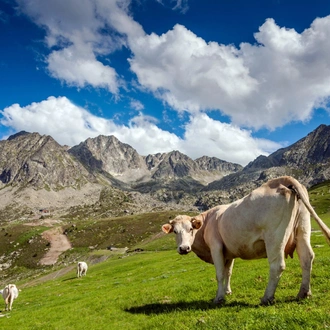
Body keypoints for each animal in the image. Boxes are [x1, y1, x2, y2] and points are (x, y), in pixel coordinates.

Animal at [161, 177, 330, 306]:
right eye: (175, 231)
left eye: (190, 229)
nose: (183, 248)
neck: (207, 222)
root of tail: (282, 180)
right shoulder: (228, 252)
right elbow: (228, 272)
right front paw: (227, 291)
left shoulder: (216, 247)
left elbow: (220, 274)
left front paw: (219, 297)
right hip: (303, 229)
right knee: (307, 258)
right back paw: (303, 293)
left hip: (274, 237)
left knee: (277, 266)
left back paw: (267, 297)